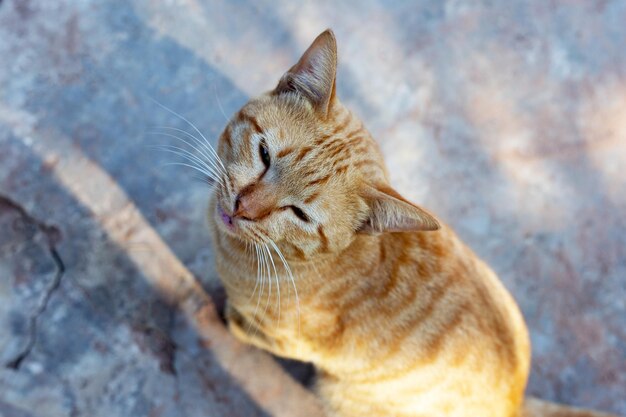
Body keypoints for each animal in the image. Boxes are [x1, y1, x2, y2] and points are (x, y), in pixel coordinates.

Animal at [206, 30, 616, 416]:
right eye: (264, 155)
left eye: (301, 214)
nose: (242, 207)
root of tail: (516, 401)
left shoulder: (287, 340)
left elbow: (241, 326)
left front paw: (223, 313)